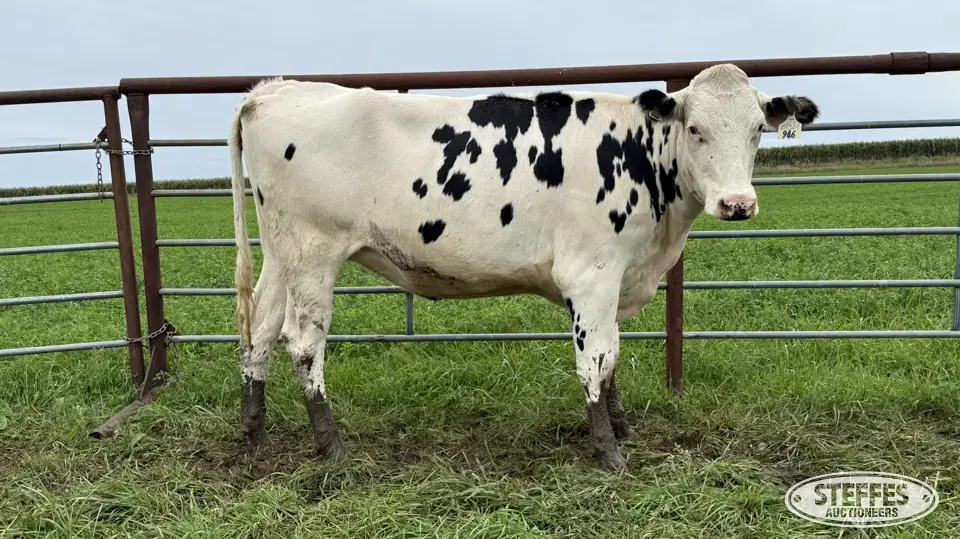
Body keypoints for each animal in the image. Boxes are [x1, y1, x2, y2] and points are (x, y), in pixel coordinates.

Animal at [228, 63, 819, 470]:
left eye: (757, 130)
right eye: (695, 129)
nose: (737, 204)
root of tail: (275, 90)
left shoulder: (616, 279)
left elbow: (613, 357)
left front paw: (622, 427)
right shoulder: (591, 274)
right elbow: (595, 360)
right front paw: (608, 451)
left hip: (281, 254)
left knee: (258, 333)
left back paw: (256, 435)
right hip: (315, 253)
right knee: (304, 345)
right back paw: (332, 447)